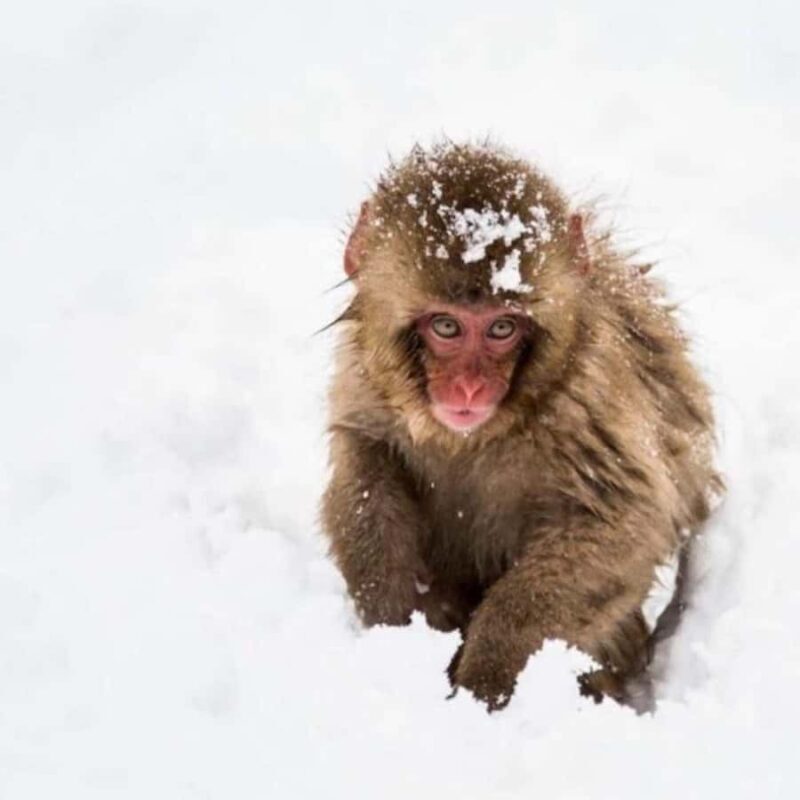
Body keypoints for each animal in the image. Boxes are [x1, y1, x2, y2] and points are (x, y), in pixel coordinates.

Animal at [321, 142, 721, 711]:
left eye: (502, 328)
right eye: (447, 326)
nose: (469, 389)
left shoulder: (589, 400)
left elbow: (624, 521)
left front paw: (485, 674)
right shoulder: (368, 383)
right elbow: (366, 464)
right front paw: (391, 626)